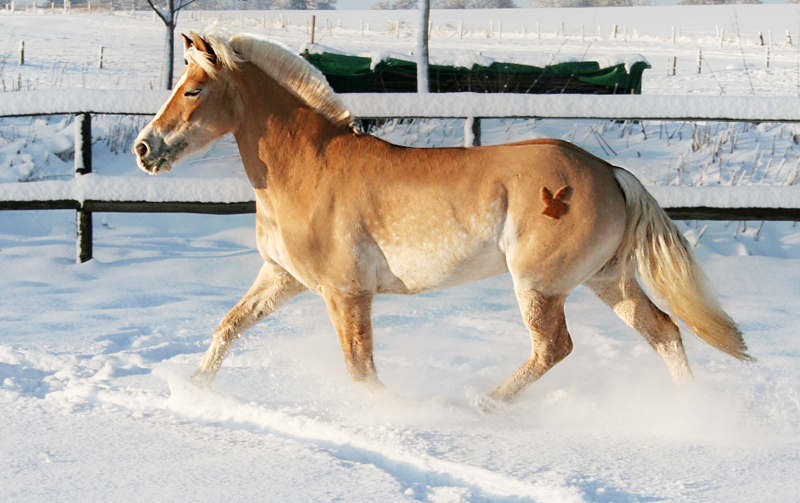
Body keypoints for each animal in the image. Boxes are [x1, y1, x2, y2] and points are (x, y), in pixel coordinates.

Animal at [131, 30, 752, 410]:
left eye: (193, 89)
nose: (144, 148)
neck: (307, 169)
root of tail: (609, 171)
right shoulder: (282, 277)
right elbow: (229, 326)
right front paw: (192, 389)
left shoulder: (346, 293)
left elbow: (360, 370)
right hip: (608, 280)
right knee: (665, 332)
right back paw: (694, 415)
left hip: (541, 284)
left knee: (555, 348)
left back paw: (483, 403)